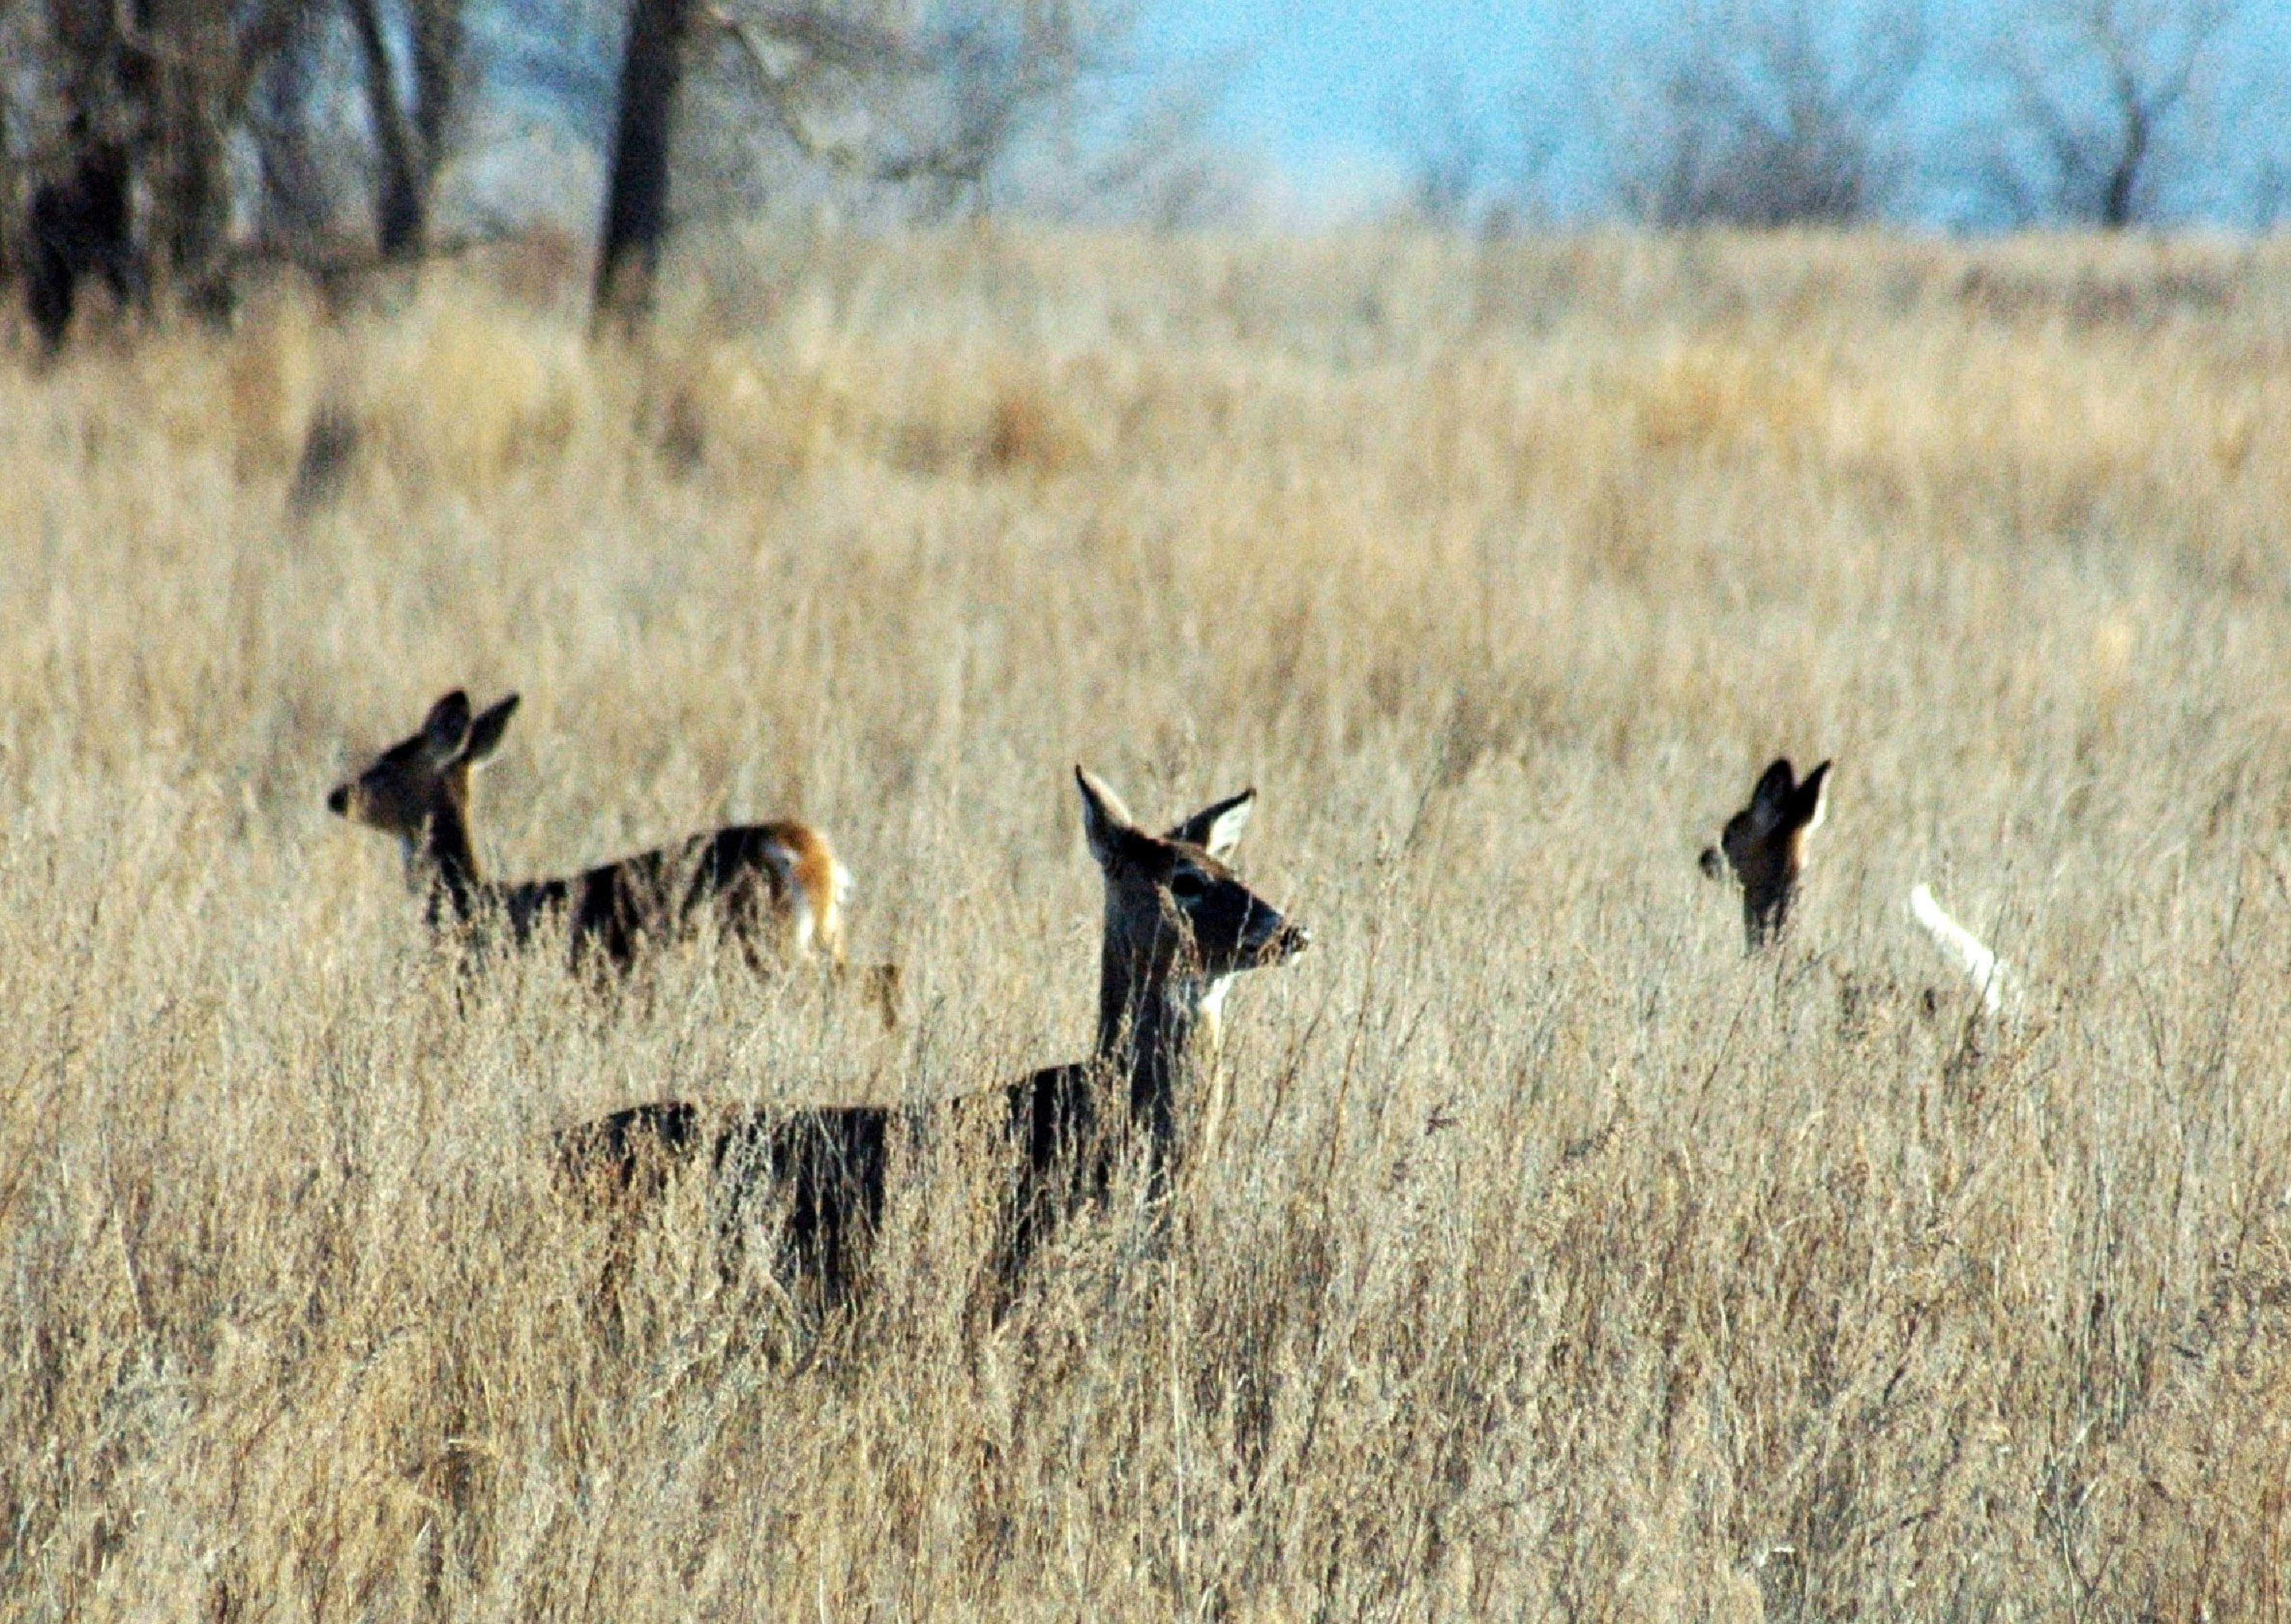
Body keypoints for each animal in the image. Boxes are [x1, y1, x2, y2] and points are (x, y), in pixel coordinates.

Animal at [326, 689, 898, 1021]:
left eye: (387, 762)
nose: (336, 796)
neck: (475, 901)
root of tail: (811, 850)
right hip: (821, 936)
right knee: (884, 972)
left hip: (763, 943)